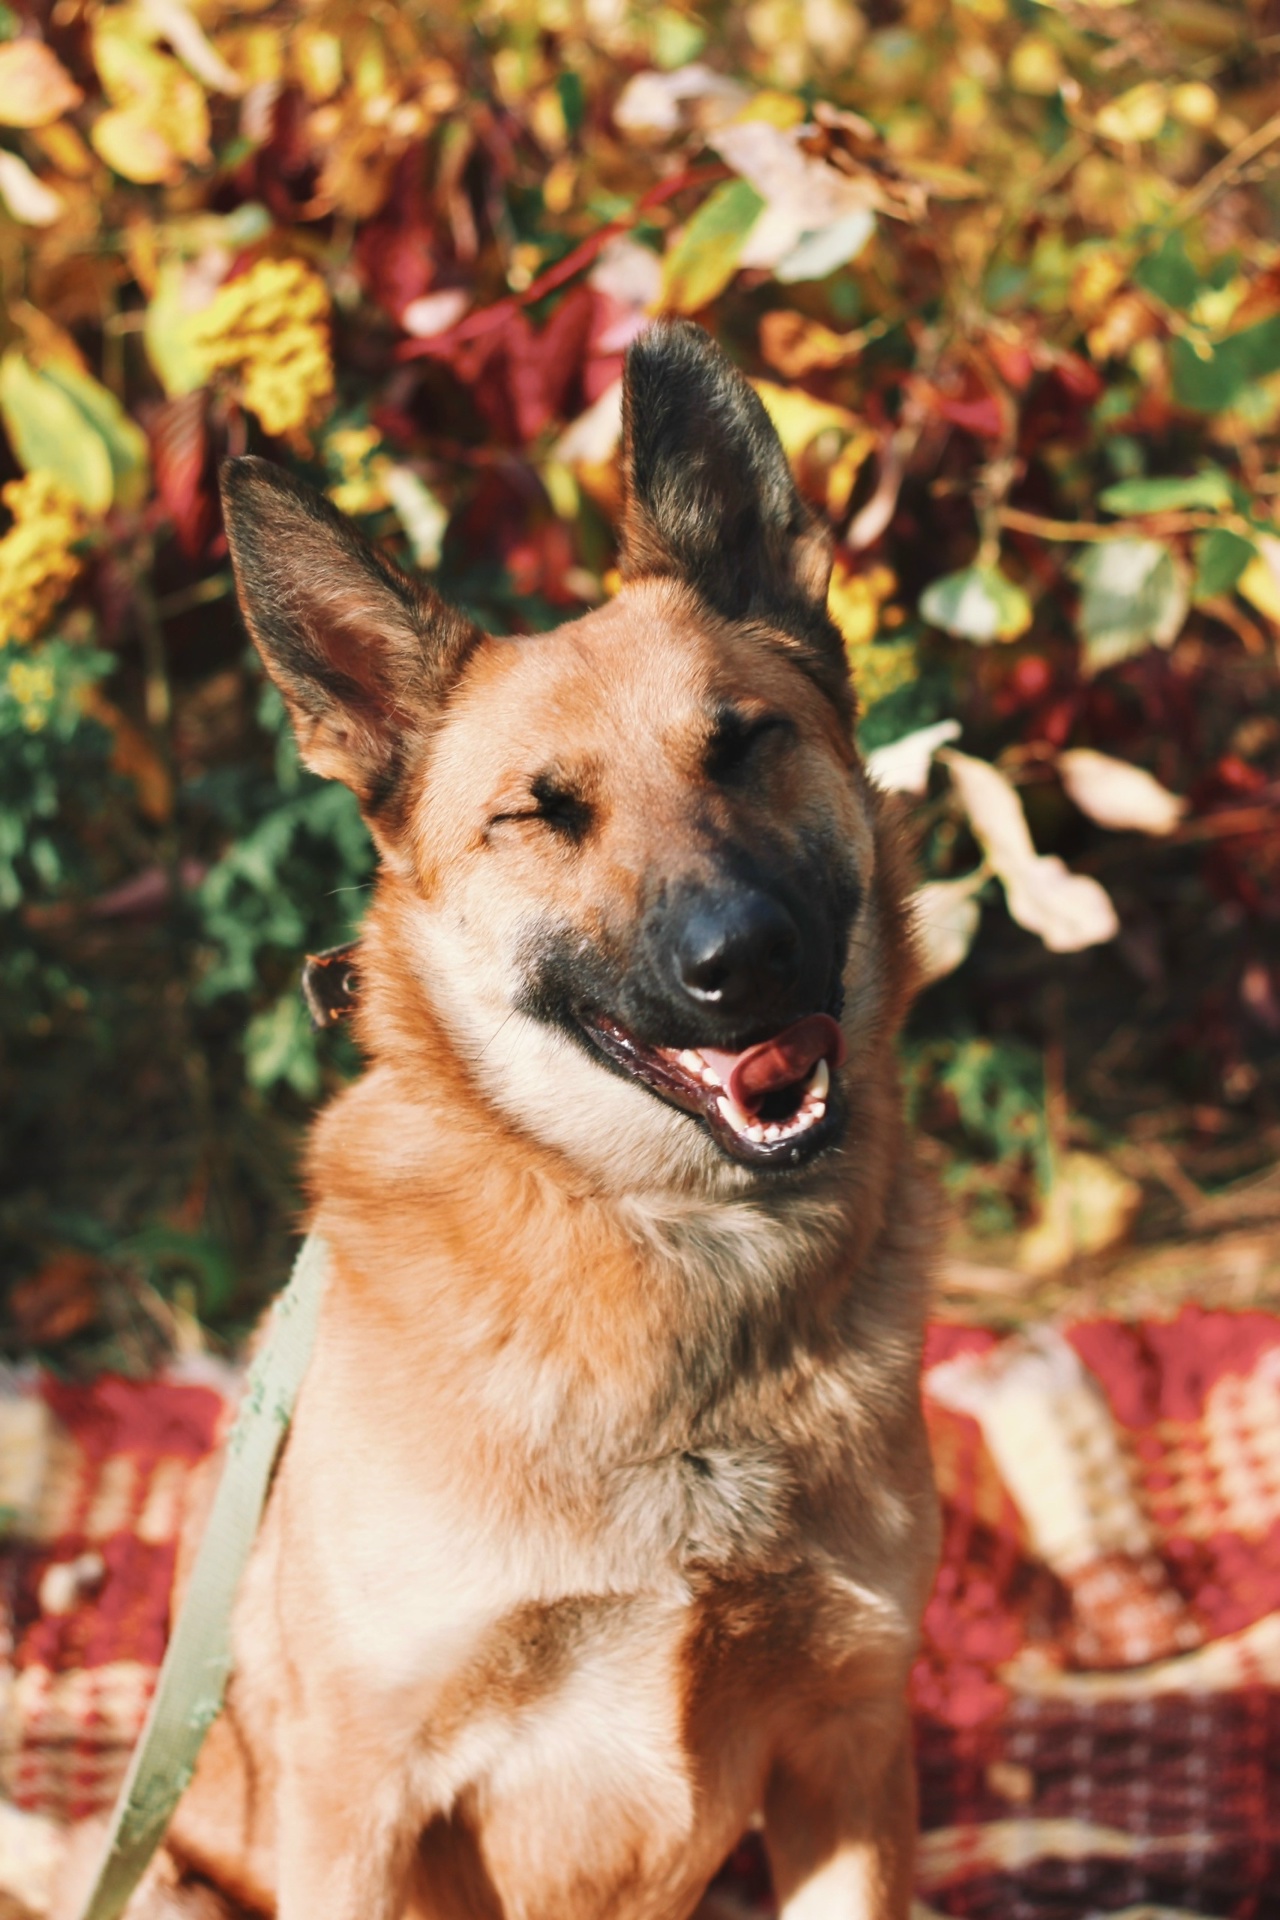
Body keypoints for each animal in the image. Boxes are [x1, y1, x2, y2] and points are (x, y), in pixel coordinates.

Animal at [100, 319, 939, 1920]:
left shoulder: (850, 1752)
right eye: (539, 815)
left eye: (745, 744)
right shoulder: (361, 1801)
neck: (668, 1246)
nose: (747, 960)